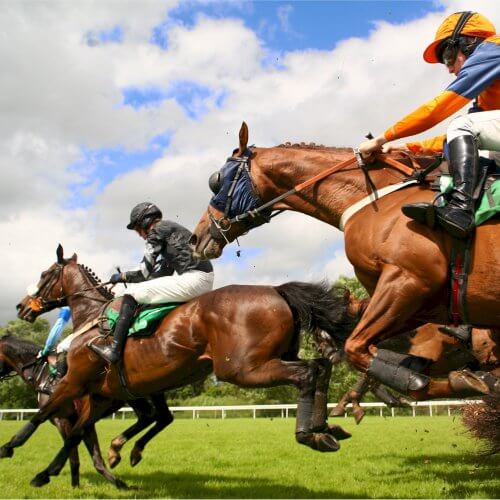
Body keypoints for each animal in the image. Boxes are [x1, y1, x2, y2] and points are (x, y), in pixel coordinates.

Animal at [0, 247, 352, 488]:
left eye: (45, 274)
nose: (21, 306)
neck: (93, 319)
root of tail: (276, 289)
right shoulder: (101, 396)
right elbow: (77, 434)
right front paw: (53, 471)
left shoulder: (74, 383)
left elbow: (43, 417)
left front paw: (10, 449)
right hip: (277, 356)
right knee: (320, 367)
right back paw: (325, 429)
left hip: (244, 369)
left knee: (306, 374)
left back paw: (308, 434)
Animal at [191, 123, 500, 400]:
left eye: (216, 180)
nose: (197, 237)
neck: (373, 199)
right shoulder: (420, 306)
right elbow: (369, 347)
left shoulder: (408, 281)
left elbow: (357, 348)